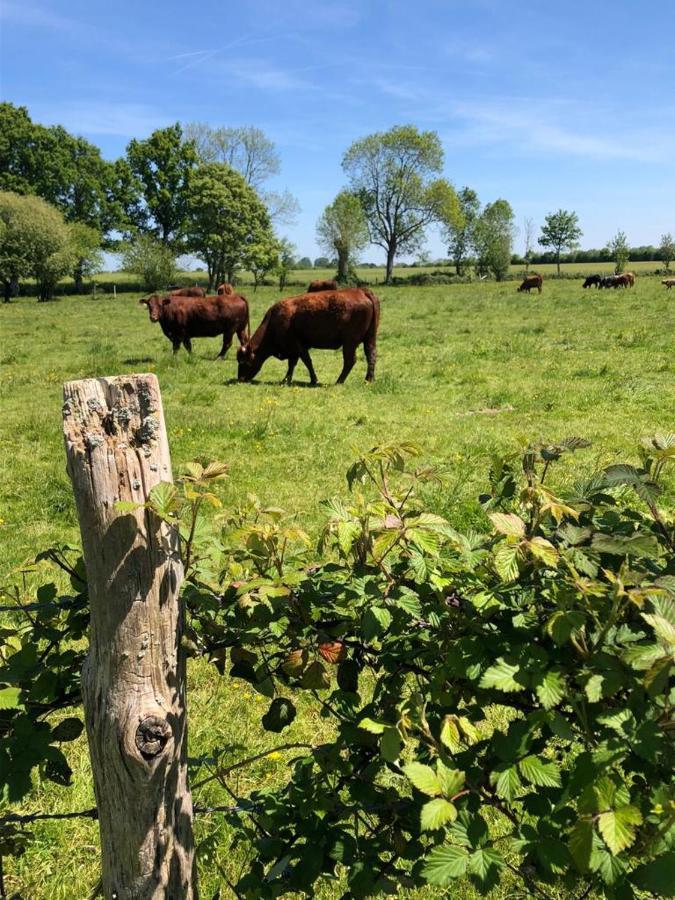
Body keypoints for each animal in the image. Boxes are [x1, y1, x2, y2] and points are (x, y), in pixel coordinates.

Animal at [238, 288, 380, 386]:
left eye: (244, 361)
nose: (240, 379)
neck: (274, 320)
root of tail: (362, 291)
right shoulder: (297, 348)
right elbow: (294, 363)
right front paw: (287, 379)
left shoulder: (297, 346)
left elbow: (306, 361)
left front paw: (312, 380)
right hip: (370, 338)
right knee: (371, 355)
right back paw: (368, 380)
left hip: (349, 343)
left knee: (350, 360)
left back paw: (339, 381)